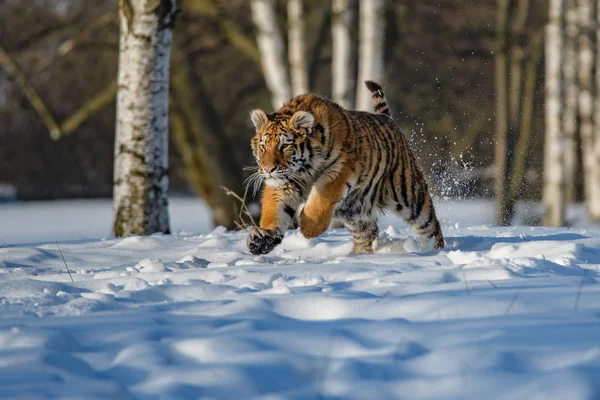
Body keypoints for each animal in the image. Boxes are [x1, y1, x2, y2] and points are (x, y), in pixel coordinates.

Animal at [245, 80, 446, 256]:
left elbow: (322, 198)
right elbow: (274, 211)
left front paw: (308, 228)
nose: (268, 169)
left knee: (431, 226)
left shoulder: (342, 167)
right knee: (368, 232)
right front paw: (262, 237)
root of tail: (388, 119)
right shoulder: (283, 184)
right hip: (356, 211)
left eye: (285, 146)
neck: (304, 170)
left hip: (410, 195)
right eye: (263, 146)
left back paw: (436, 251)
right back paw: (359, 256)